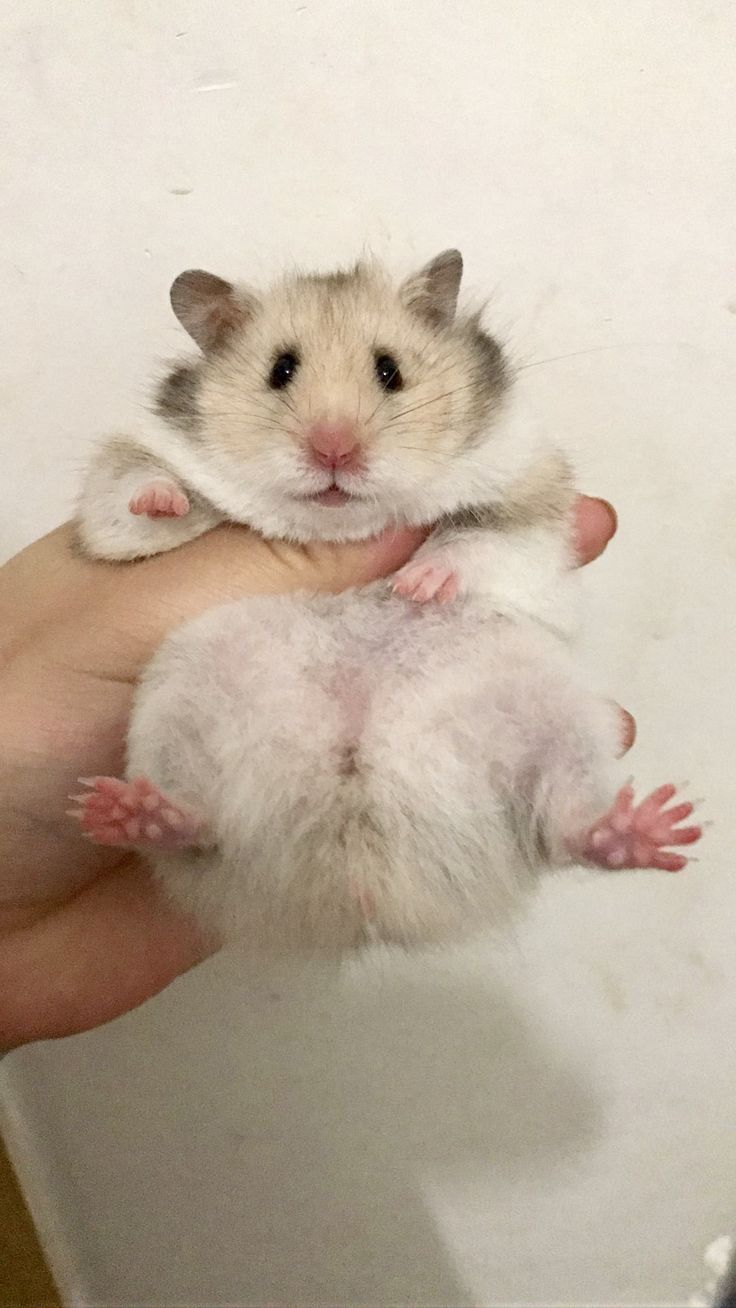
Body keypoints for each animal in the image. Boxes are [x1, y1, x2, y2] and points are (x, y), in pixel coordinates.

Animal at [70, 247, 700, 952]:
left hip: (554, 715)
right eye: (280, 370)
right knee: (201, 832)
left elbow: (478, 537)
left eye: (390, 370)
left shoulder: (527, 489)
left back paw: (648, 829)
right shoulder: (125, 485)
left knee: (563, 829)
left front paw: (416, 583)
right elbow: (128, 497)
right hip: (178, 711)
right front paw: (165, 500)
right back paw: (129, 813)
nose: (334, 449)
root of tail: (364, 877)